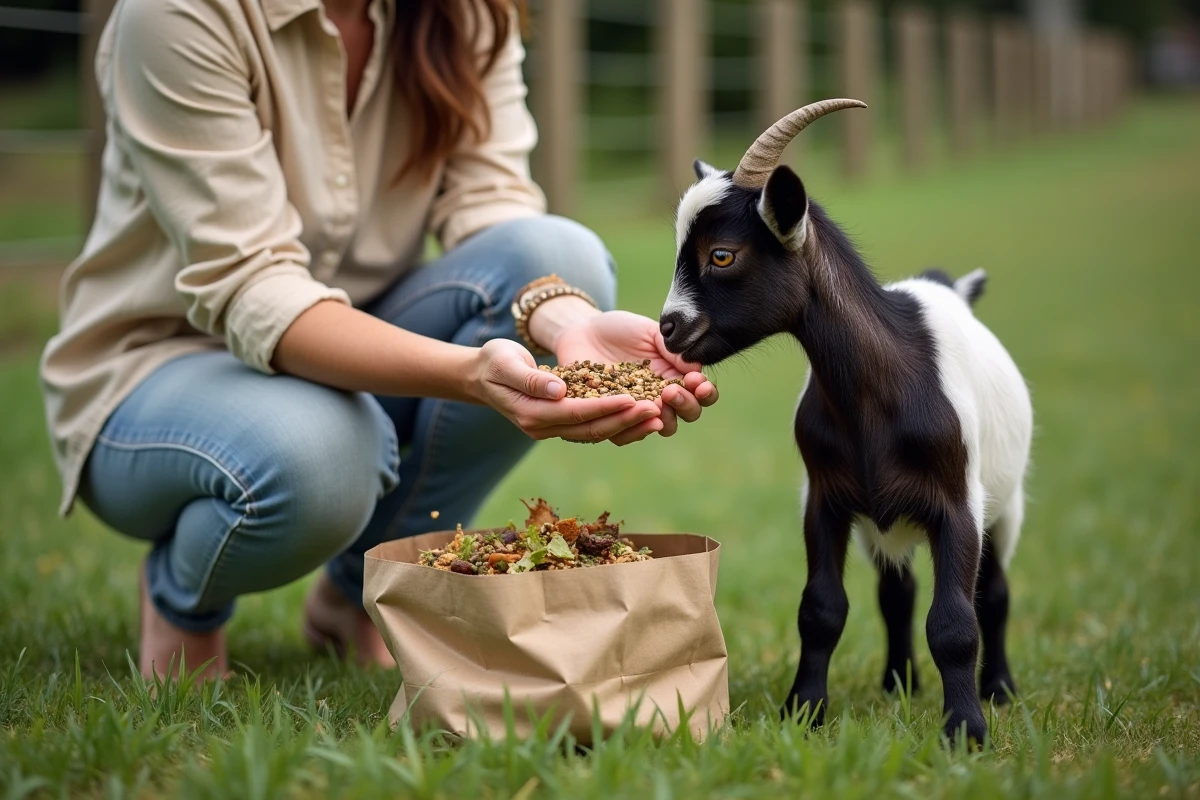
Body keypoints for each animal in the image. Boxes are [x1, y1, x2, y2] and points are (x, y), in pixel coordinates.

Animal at [658, 99, 1033, 746]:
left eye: (721, 254)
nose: (668, 328)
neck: (878, 396)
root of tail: (947, 287)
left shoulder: (957, 502)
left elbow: (956, 623)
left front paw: (965, 730)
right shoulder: (825, 500)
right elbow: (822, 609)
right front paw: (803, 711)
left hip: (1004, 506)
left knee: (996, 592)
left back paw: (1000, 689)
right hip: (883, 525)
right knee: (896, 593)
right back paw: (897, 682)